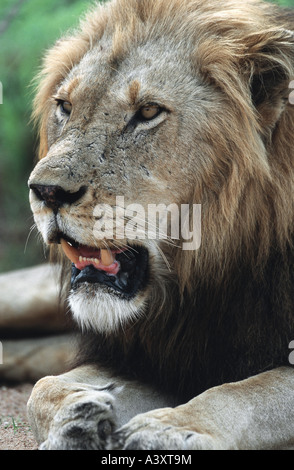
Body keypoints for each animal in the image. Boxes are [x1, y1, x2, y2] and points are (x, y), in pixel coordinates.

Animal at [25, 0, 294, 450]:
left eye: (148, 112)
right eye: (65, 106)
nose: (46, 191)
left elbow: (242, 391)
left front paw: (168, 428)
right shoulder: (153, 356)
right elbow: (42, 386)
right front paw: (80, 417)